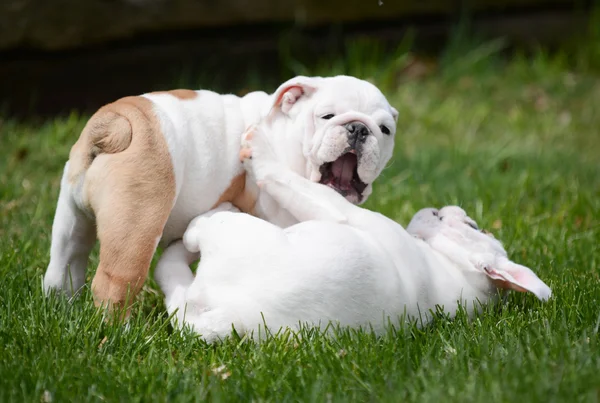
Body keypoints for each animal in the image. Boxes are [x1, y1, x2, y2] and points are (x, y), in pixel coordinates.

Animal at [42, 75, 398, 312]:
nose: (358, 128)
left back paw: (62, 308)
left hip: (71, 216)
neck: (285, 133)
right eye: (327, 117)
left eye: (385, 130)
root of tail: (116, 122)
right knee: (113, 284)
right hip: (136, 226)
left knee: (64, 264)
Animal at [156, 124, 552, 344]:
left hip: (235, 237)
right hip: (188, 308)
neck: (457, 275)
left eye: (471, 227)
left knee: (184, 246)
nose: (442, 210)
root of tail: (227, 315)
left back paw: (206, 220)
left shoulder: (342, 212)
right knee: (171, 279)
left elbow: (287, 180)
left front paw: (261, 151)